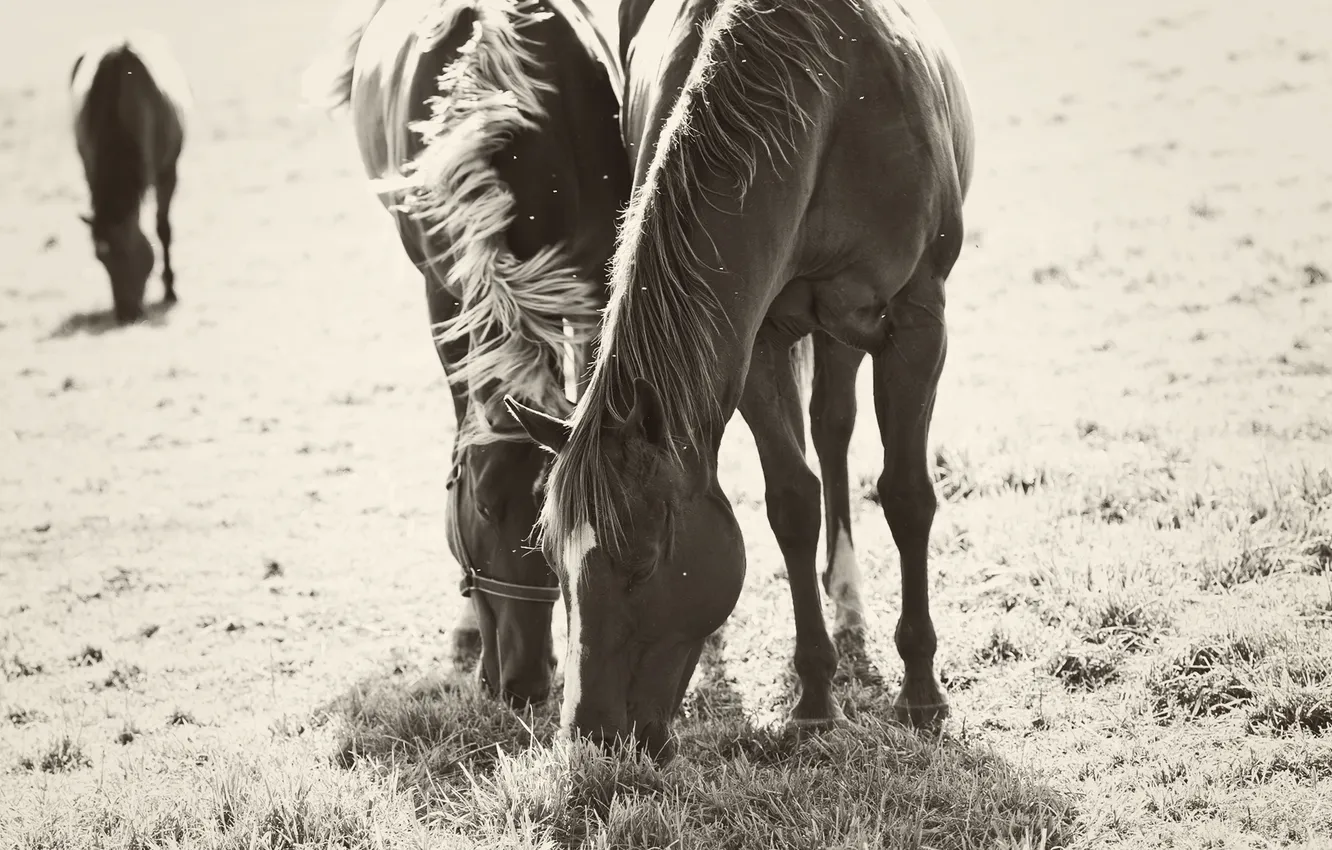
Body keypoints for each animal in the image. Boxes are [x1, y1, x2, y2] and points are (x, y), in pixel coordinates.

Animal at [68, 34, 189, 325]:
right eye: (100, 260)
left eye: (127, 254)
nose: (125, 315)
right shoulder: (91, 171)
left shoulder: (168, 172)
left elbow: (163, 229)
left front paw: (170, 290)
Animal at [503, 0, 975, 767]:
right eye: (551, 561)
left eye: (642, 561)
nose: (591, 737)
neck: (828, 96)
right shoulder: (758, 339)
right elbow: (792, 503)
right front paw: (814, 701)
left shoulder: (917, 320)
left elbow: (906, 495)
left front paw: (922, 694)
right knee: (828, 427)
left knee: (837, 427)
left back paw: (850, 597)